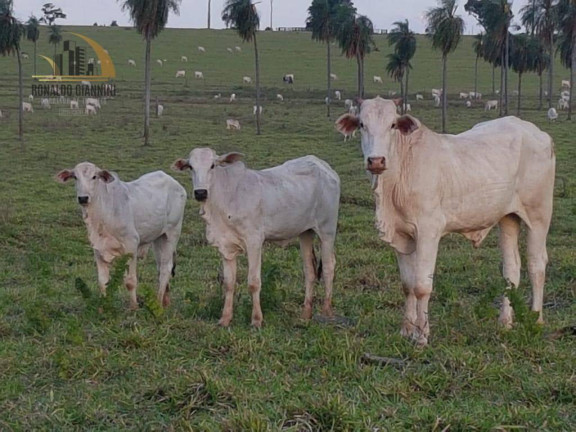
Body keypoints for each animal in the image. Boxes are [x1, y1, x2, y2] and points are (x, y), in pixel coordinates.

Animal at [55, 161, 186, 308]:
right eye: (75, 177)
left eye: (94, 176)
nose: (83, 198)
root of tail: (175, 183)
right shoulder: (98, 250)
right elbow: (102, 281)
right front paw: (104, 308)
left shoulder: (131, 246)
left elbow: (130, 281)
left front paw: (134, 307)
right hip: (158, 238)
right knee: (160, 267)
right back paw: (165, 301)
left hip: (172, 234)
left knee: (165, 269)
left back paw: (158, 303)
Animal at [173, 149, 340, 328]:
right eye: (191, 167)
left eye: (212, 165)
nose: (200, 193)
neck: (226, 196)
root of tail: (323, 165)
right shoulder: (226, 246)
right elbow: (229, 283)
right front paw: (225, 319)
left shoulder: (254, 241)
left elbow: (253, 282)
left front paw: (256, 320)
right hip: (306, 232)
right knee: (310, 270)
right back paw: (305, 315)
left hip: (327, 230)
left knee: (329, 267)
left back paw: (326, 313)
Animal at [336, 96, 556, 346]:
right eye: (362, 124)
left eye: (392, 125)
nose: (376, 160)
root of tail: (538, 133)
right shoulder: (401, 235)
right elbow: (407, 285)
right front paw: (406, 330)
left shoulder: (428, 232)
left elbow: (421, 286)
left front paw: (422, 336)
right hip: (508, 217)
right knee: (511, 269)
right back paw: (505, 323)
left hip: (539, 215)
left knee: (536, 264)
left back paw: (536, 320)